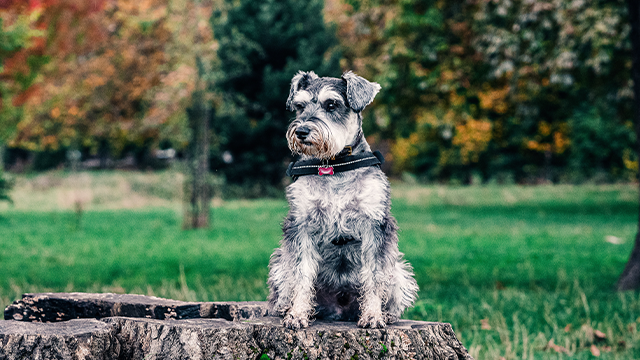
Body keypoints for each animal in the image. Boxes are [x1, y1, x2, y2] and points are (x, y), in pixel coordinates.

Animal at [266, 69, 420, 330]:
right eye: (299, 106)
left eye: (331, 104)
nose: (302, 131)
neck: (334, 166)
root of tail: (339, 310)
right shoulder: (302, 224)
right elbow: (301, 273)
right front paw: (297, 314)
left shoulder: (374, 224)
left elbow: (374, 275)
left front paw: (373, 315)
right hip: (279, 263)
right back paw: (286, 308)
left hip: (399, 269)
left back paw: (388, 314)